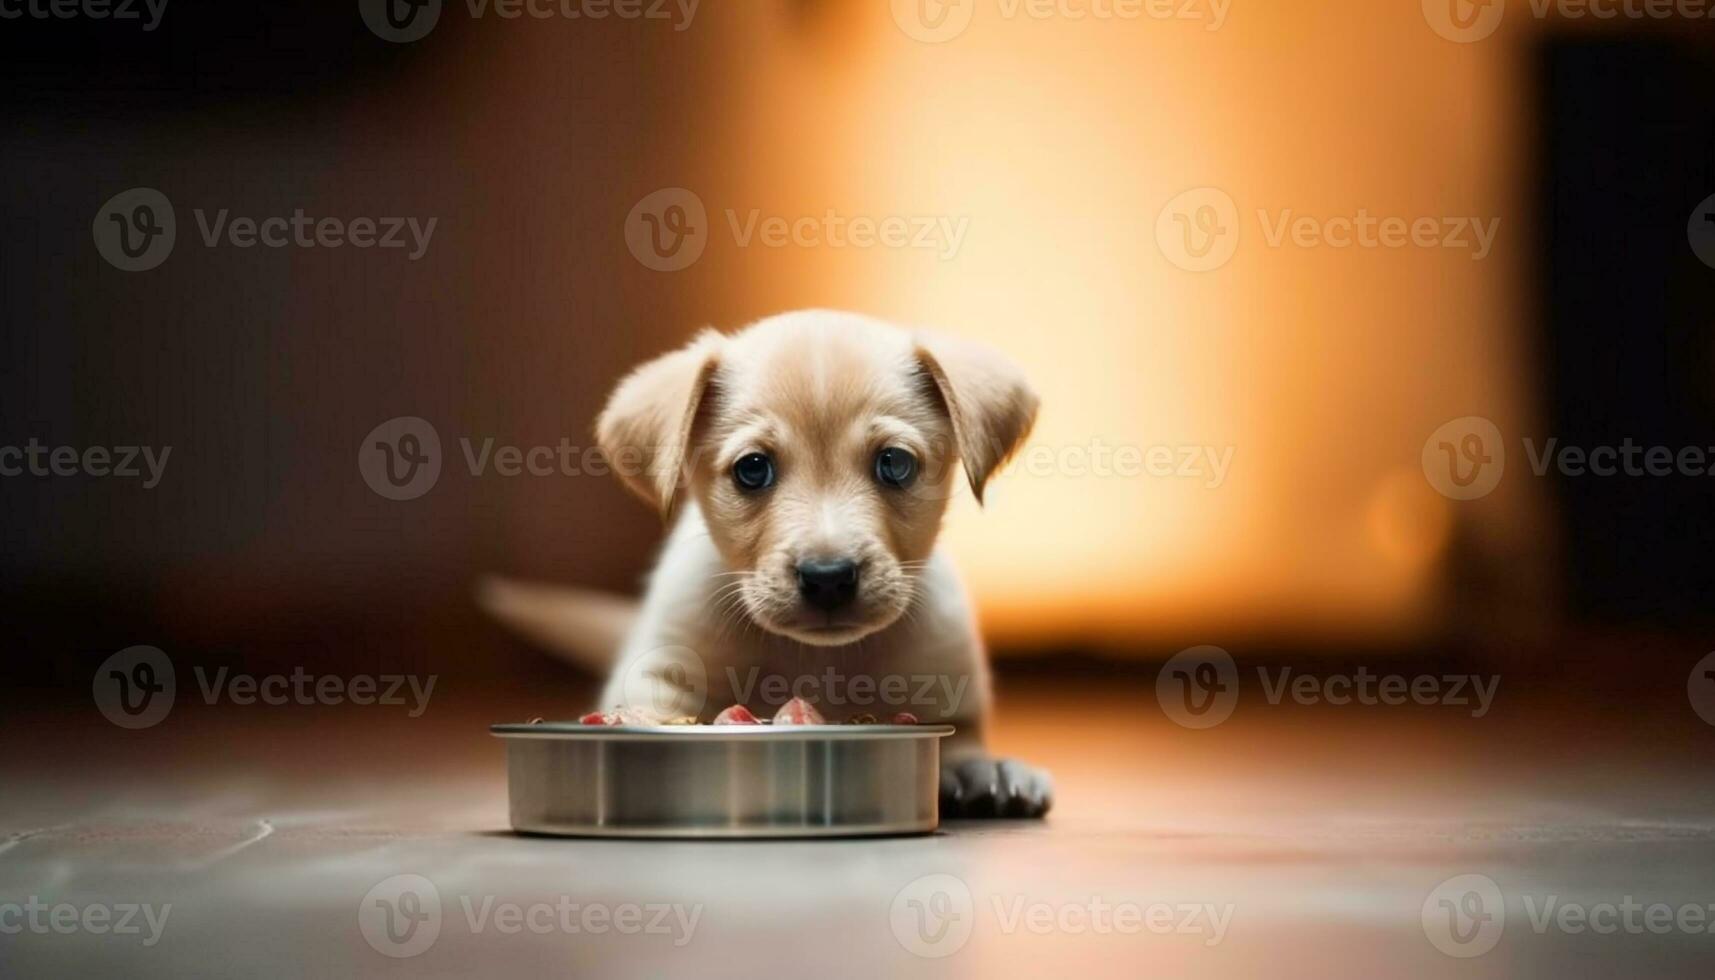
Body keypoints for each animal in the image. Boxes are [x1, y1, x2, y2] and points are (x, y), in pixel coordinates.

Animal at [483, 310, 1042, 816]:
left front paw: (977, 768)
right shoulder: (661, 665)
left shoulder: (948, 676)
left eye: (895, 463)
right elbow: (656, 708)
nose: (828, 578)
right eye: (752, 469)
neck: (816, 658)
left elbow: (962, 731)